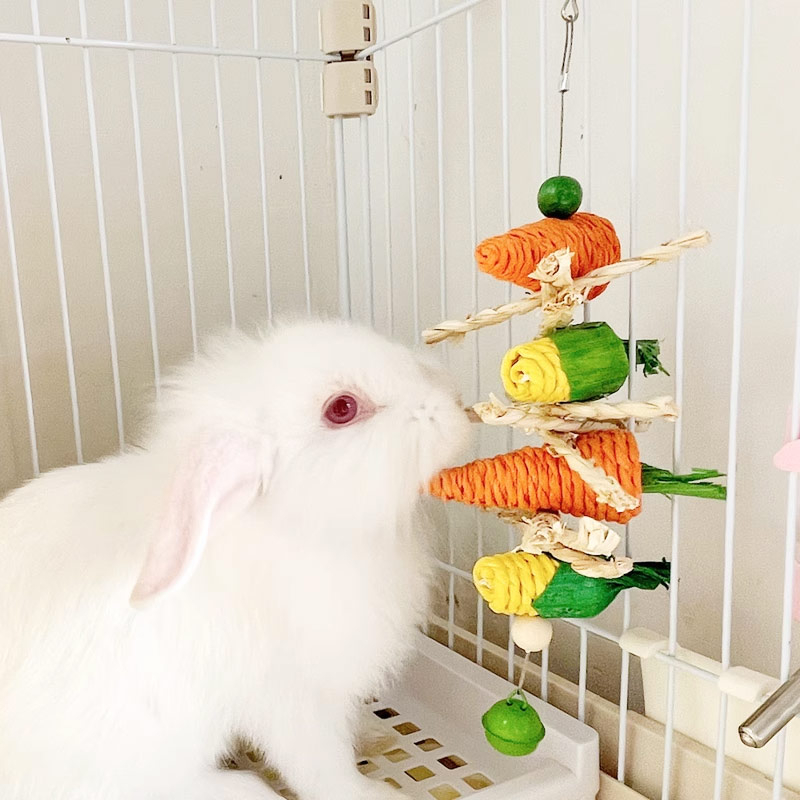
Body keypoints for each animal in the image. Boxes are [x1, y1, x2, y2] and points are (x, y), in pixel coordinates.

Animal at [0, 319, 472, 800]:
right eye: (341, 408)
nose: (455, 400)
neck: (295, 524)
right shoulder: (294, 698)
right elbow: (320, 764)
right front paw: (372, 792)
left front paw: (372, 735)